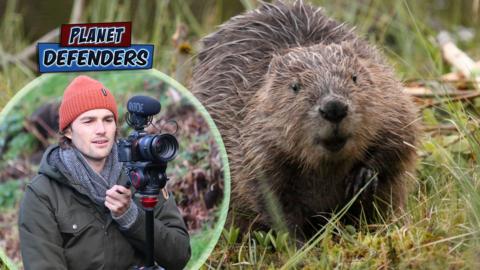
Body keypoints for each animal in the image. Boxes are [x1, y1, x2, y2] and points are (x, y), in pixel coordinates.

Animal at [191, 0, 416, 236]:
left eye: (354, 77)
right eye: (295, 86)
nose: (334, 107)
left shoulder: (389, 94)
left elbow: (400, 139)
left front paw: (362, 178)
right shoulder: (250, 139)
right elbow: (270, 198)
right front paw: (299, 242)